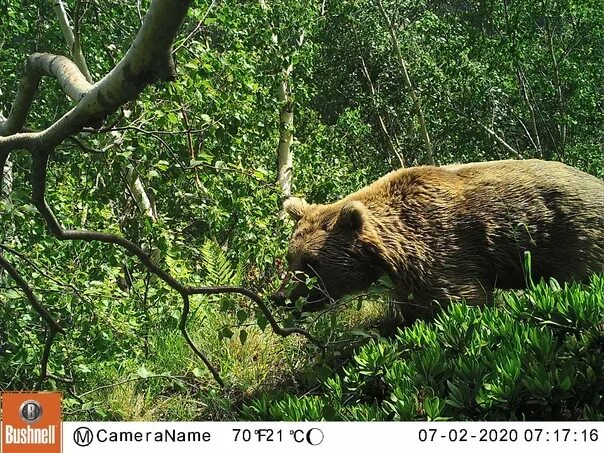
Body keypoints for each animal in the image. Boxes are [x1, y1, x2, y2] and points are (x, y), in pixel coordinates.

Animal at [274, 158, 604, 322]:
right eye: (291, 257)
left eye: (312, 263)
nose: (281, 297)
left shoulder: (443, 246)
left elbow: (460, 300)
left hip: (577, 235)